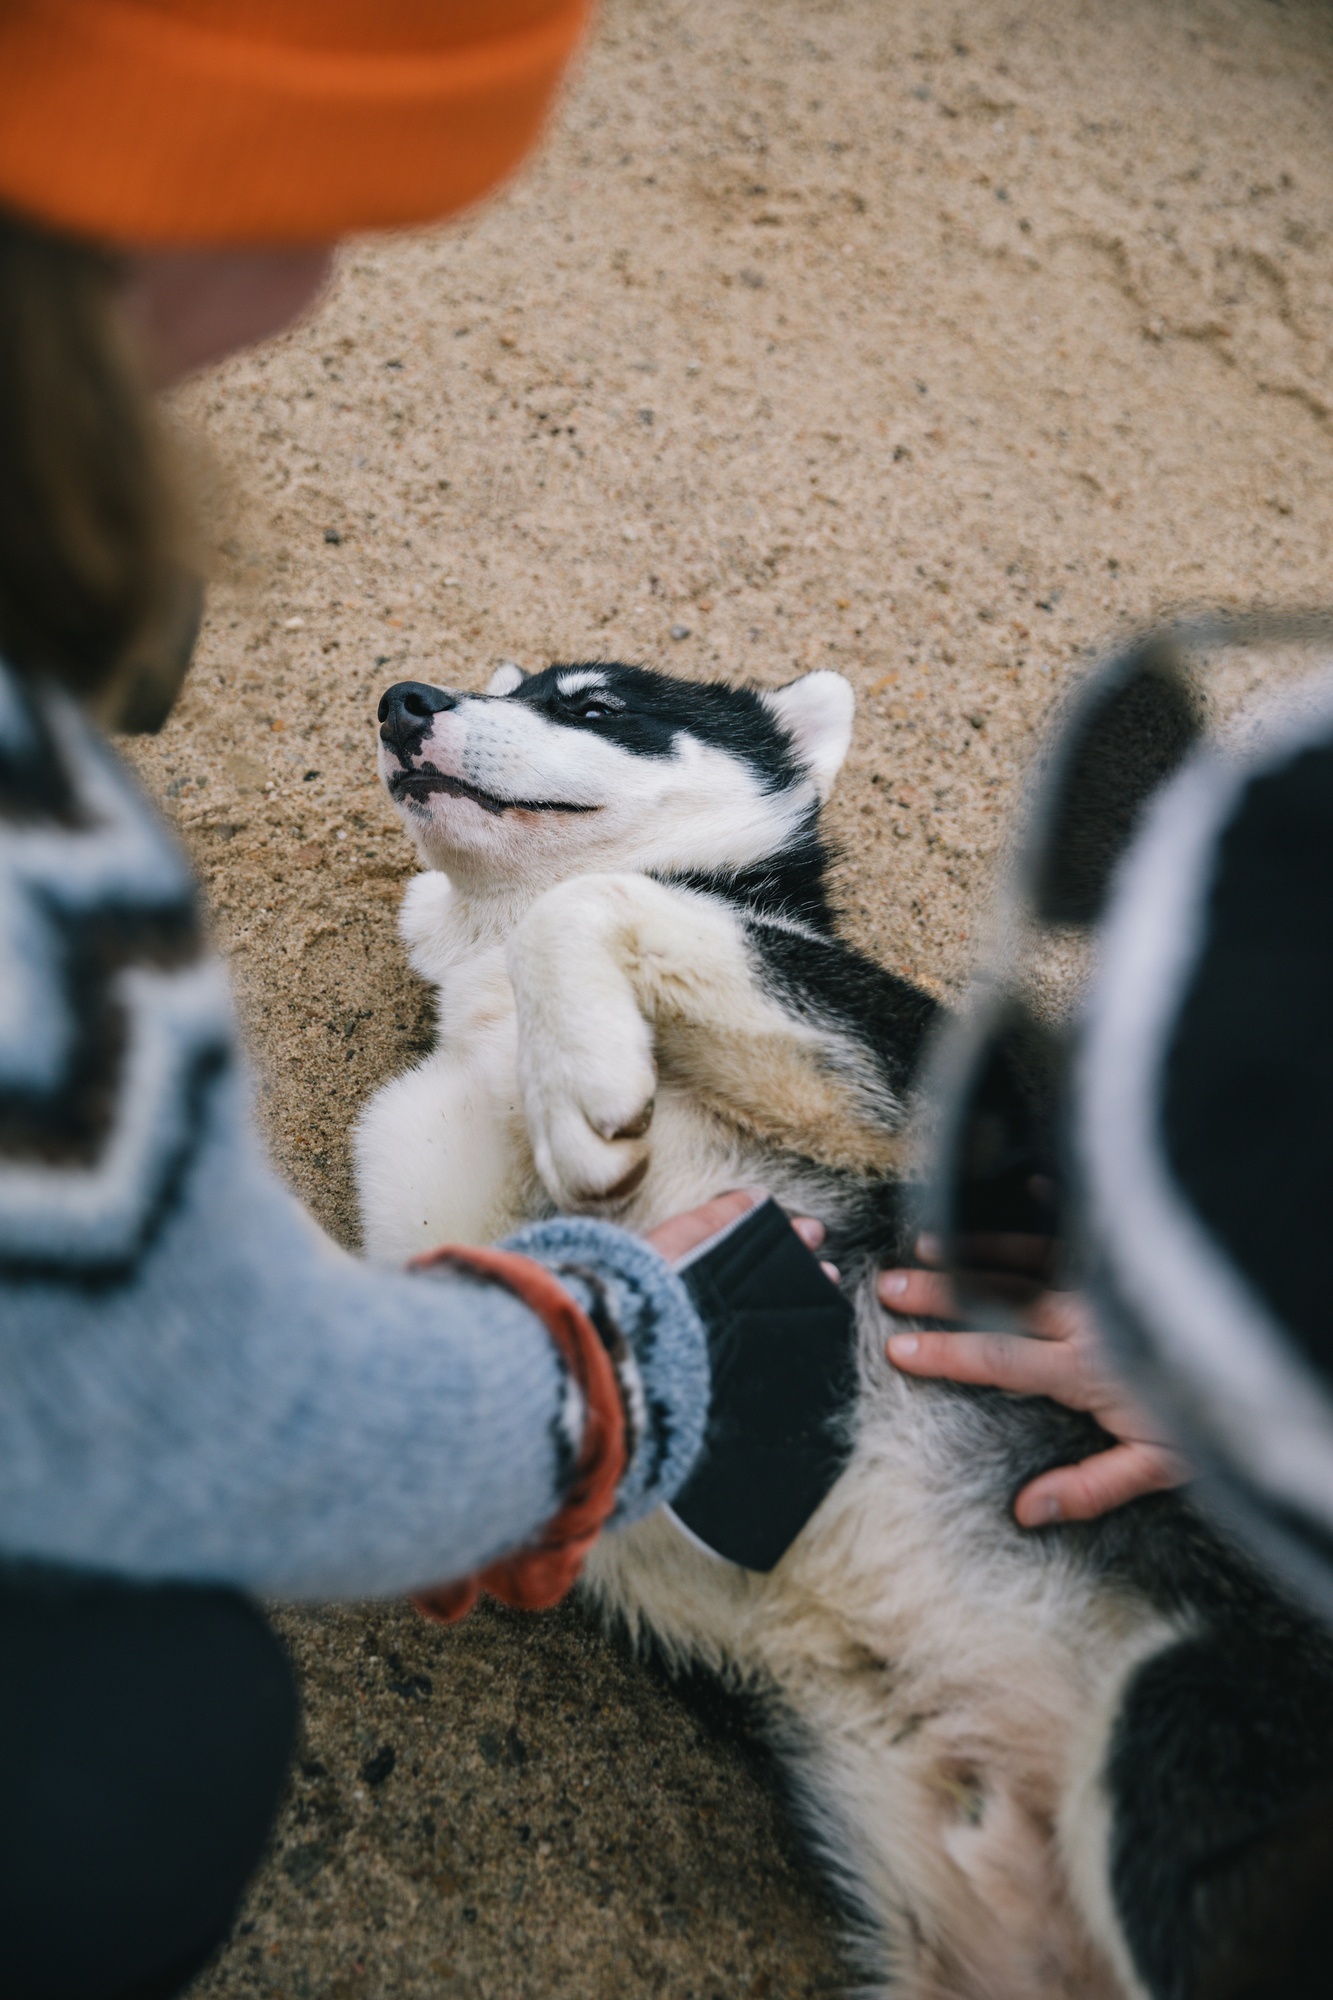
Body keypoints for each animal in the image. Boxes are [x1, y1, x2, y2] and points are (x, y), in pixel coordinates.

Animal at [358, 664, 1328, 2000]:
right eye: (491, 682)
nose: (406, 701)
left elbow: (590, 899)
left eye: (594, 703)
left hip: (1178, 1730)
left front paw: (581, 1076)